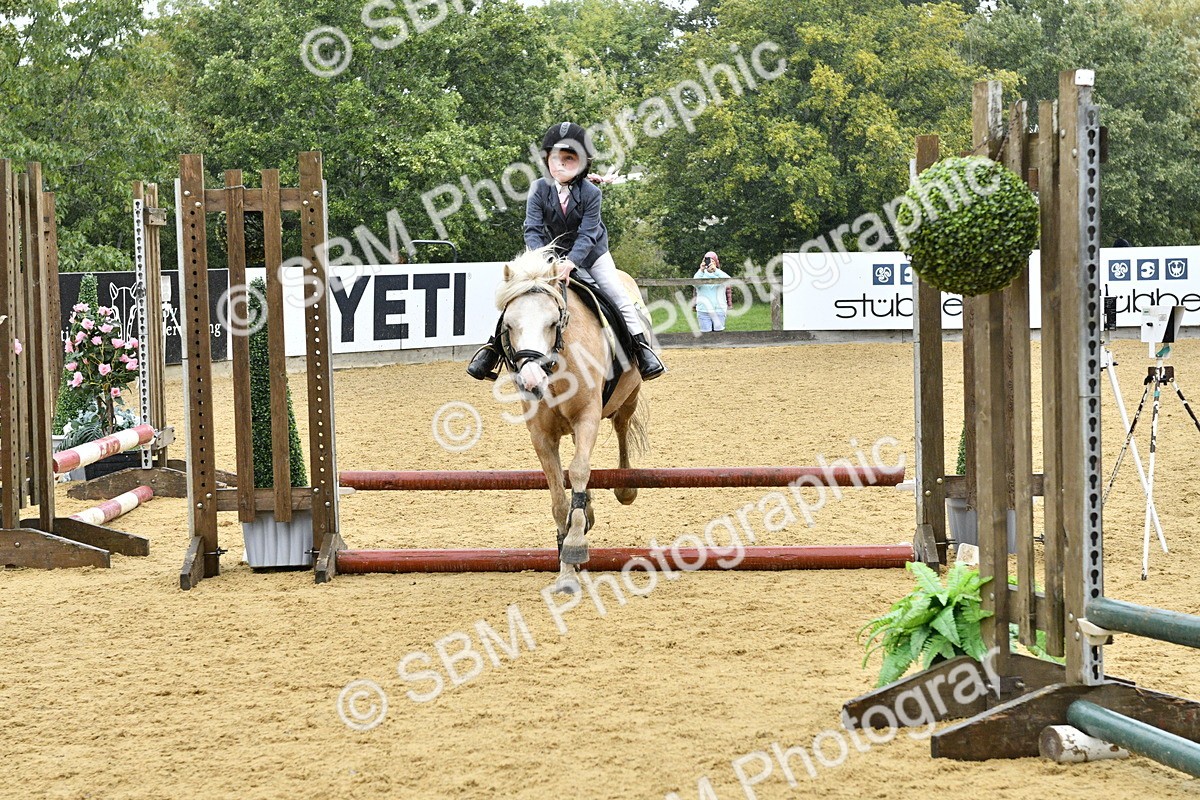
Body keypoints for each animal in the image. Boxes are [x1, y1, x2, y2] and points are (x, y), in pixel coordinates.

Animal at [494, 246, 649, 594]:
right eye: (508, 324)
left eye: (553, 322)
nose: (531, 380)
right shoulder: (540, 434)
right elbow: (558, 497)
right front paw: (566, 565)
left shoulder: (587, 417)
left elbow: (578, 470)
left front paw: (575, 546)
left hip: (628, 398)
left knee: (620, 431)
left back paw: (627, 488)